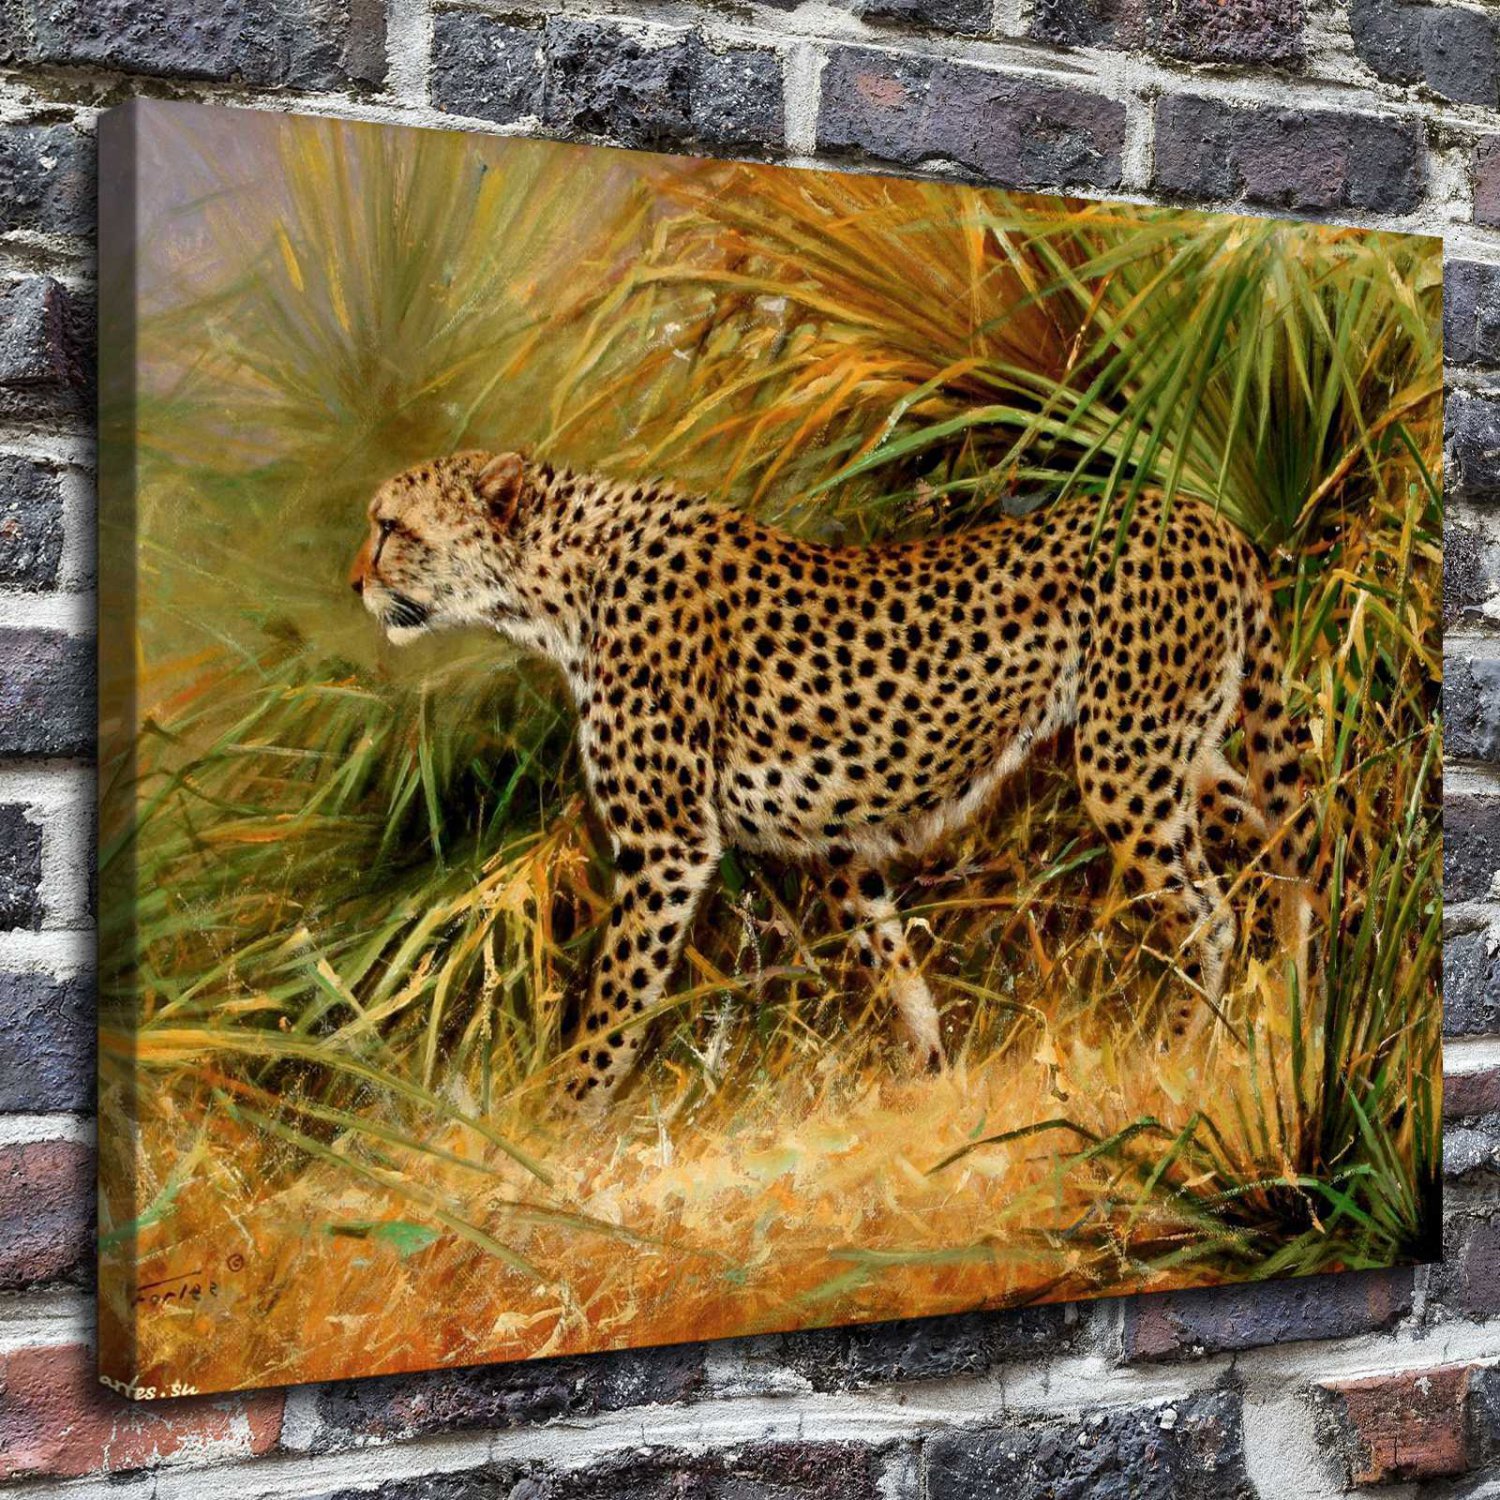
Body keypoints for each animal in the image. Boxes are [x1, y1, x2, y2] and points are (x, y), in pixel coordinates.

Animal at [350, 450, 1312, 1110]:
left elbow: (614, 1003)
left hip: (1125, 765)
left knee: (1211, 911)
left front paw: (556, 1128)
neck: (556, 582)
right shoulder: (842, 841)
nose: (355, 581)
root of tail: (1202, 514)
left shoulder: (667, 847)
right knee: (1291, 842)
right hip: (1186, 750)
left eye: (391, 527)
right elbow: (895, 966)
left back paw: (1186, 1054)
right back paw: (1298, 991)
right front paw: (931, 1084)